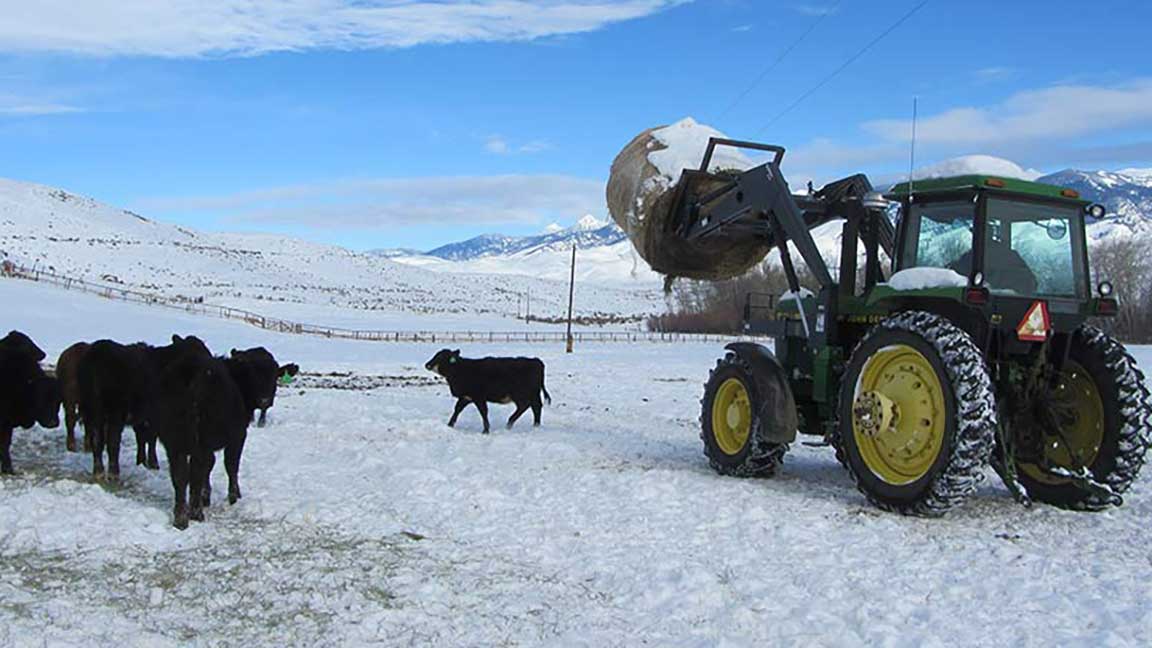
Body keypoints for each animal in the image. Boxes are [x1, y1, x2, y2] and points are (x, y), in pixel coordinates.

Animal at [79, 332, 211, 479]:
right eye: (197, 351)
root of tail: (98, 351)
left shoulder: (142, 417)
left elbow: (141, 438)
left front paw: (141, 462)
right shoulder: (153, 415)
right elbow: (151, 439)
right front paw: (153, 463)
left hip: (92, 410)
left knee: (97, 440)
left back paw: (99, 471)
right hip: (114, 412)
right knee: (112, 442)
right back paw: (113, 473)